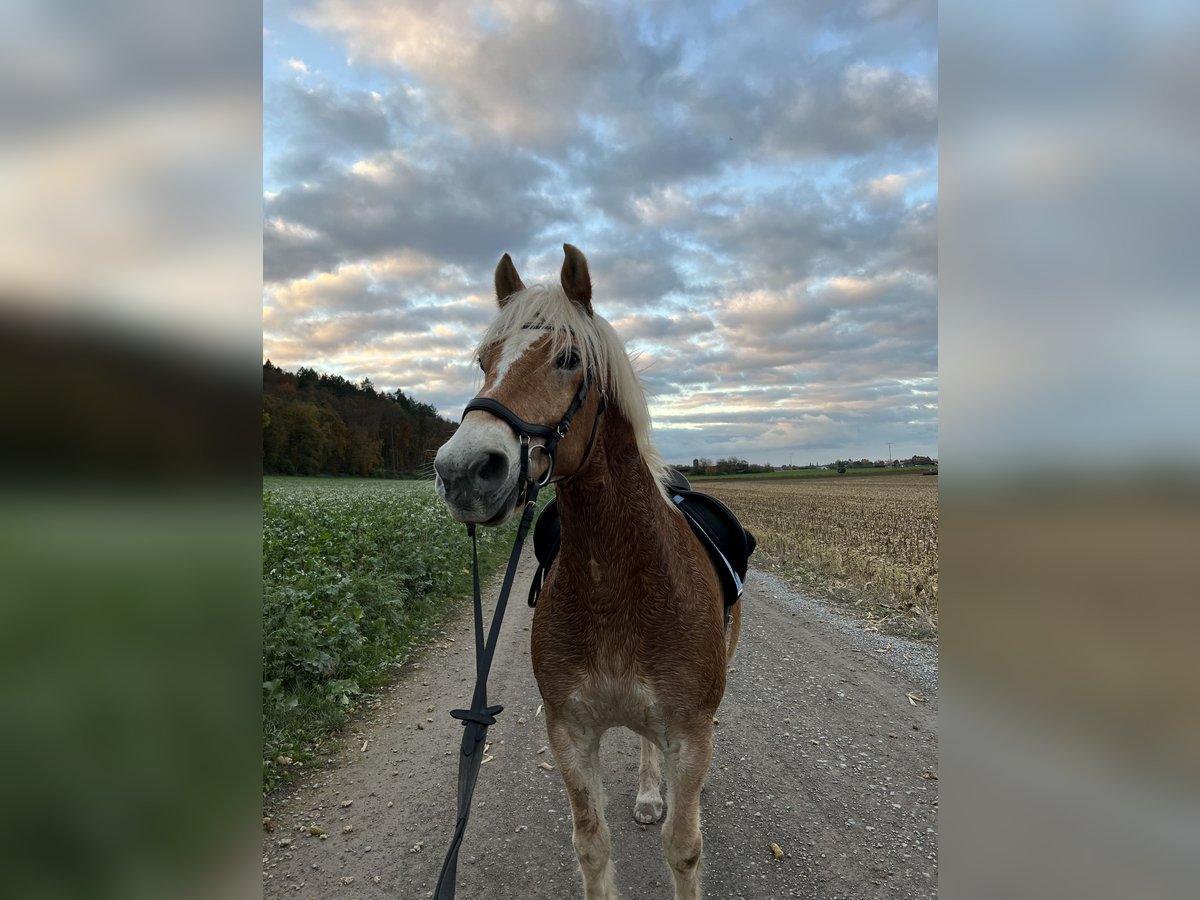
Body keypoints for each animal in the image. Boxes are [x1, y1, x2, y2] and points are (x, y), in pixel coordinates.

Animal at [436, 243, 734, 897]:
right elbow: (592, 846)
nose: (464, 470)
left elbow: (684, 849)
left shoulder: (690, 736)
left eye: (569, 359)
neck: (617, 580)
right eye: (483, 362)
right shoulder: (569, 733)